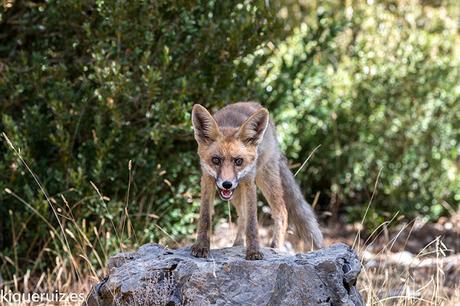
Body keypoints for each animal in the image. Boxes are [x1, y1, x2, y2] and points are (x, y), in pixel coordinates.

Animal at [190, 101, 324, 260]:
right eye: (216, 160)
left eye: (238, 161)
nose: (227, 184)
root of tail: (252, 103)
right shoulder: (207, 179)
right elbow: (205, 217)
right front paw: (201, 246)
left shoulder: (249, 182)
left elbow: (252, 223)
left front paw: (254, 251)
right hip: (237, 192)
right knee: (242, 215)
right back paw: (237, 244)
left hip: (265, 179)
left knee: (282, 212)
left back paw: (276, 248)